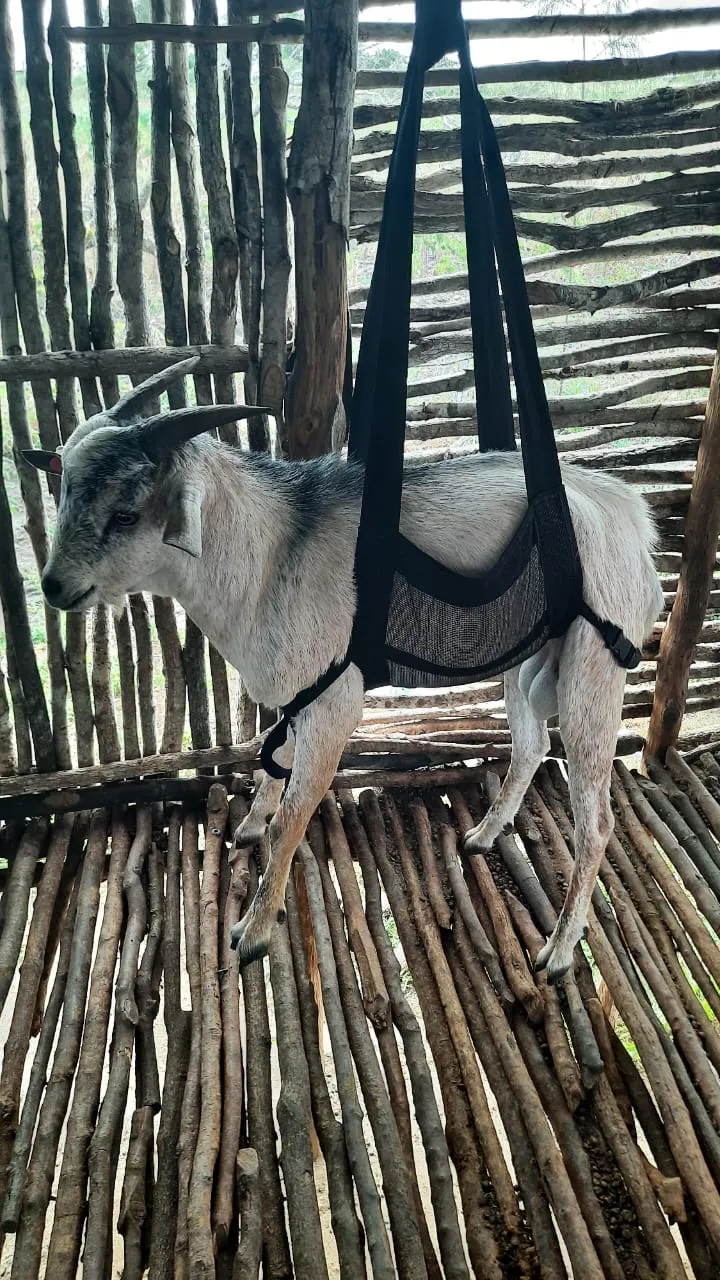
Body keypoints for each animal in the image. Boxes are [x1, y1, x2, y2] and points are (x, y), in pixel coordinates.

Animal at [25, 357, 664, 980]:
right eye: (62, 486)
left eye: (125, 513)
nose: (54, 586)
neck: (272, 556)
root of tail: (631, 514)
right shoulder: (297, 695)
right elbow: (270, 763)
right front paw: (248, 824)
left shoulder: (333, 705)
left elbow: (292, 819)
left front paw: (253, 931)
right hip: (524, 660)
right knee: (531, 746)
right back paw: (483, 836)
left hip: (593, 671)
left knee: (594, 821)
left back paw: (559, 951)